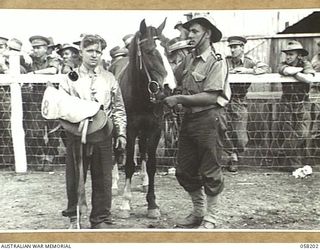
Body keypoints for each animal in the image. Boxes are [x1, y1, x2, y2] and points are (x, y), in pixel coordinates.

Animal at [115, 18, 175, 218]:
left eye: (168, 51)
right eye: (150, 52)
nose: (169, 87)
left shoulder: (155, 129)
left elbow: (151, 164)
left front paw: (152, 204)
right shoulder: (129, 130)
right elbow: (128, 165)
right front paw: (125, 203)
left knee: (142, 153)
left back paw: (144, 181)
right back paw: (114, 184)